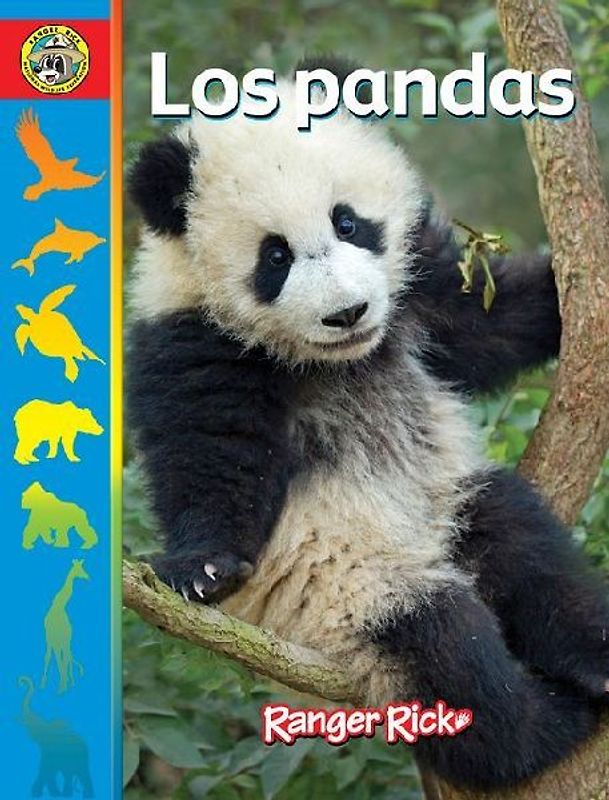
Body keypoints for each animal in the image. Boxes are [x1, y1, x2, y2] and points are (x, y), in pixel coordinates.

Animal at [127, 59, 609, 790]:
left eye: (348, 223)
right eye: (275, 257)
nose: (348, 312)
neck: (336, 359)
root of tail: (432, 556)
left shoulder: (414, 294)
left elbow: (487, 320)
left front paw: (555, 294)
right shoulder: (193, 340)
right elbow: (213, 455)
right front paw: (200, 566)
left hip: (449, 500)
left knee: (528, 550)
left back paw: (596, 661)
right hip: (349, 599)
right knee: (449, 657)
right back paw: (548, 721)